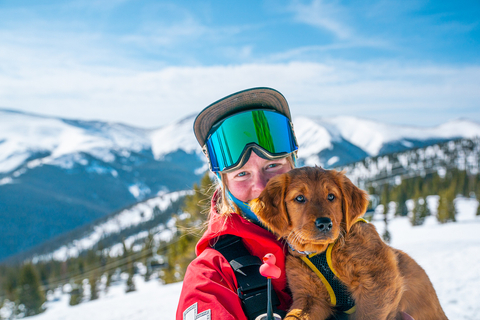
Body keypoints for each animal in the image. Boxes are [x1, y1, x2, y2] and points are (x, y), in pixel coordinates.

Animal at [251, 166, 446, 318]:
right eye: (299, 198)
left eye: (331, 196)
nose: (324, 223)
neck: (320, 252)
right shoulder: (309, 297)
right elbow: (295, 315)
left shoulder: (379, 281)